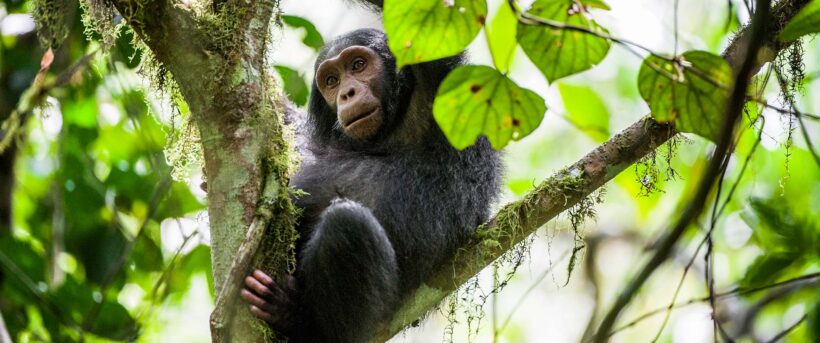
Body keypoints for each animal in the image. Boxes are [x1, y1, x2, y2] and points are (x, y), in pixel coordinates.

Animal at [240, 27, 502, 343]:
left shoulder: (439, 84)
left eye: (358, 65)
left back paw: (295, 318)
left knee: (347, 222)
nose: (346, 93)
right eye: (331, 80)